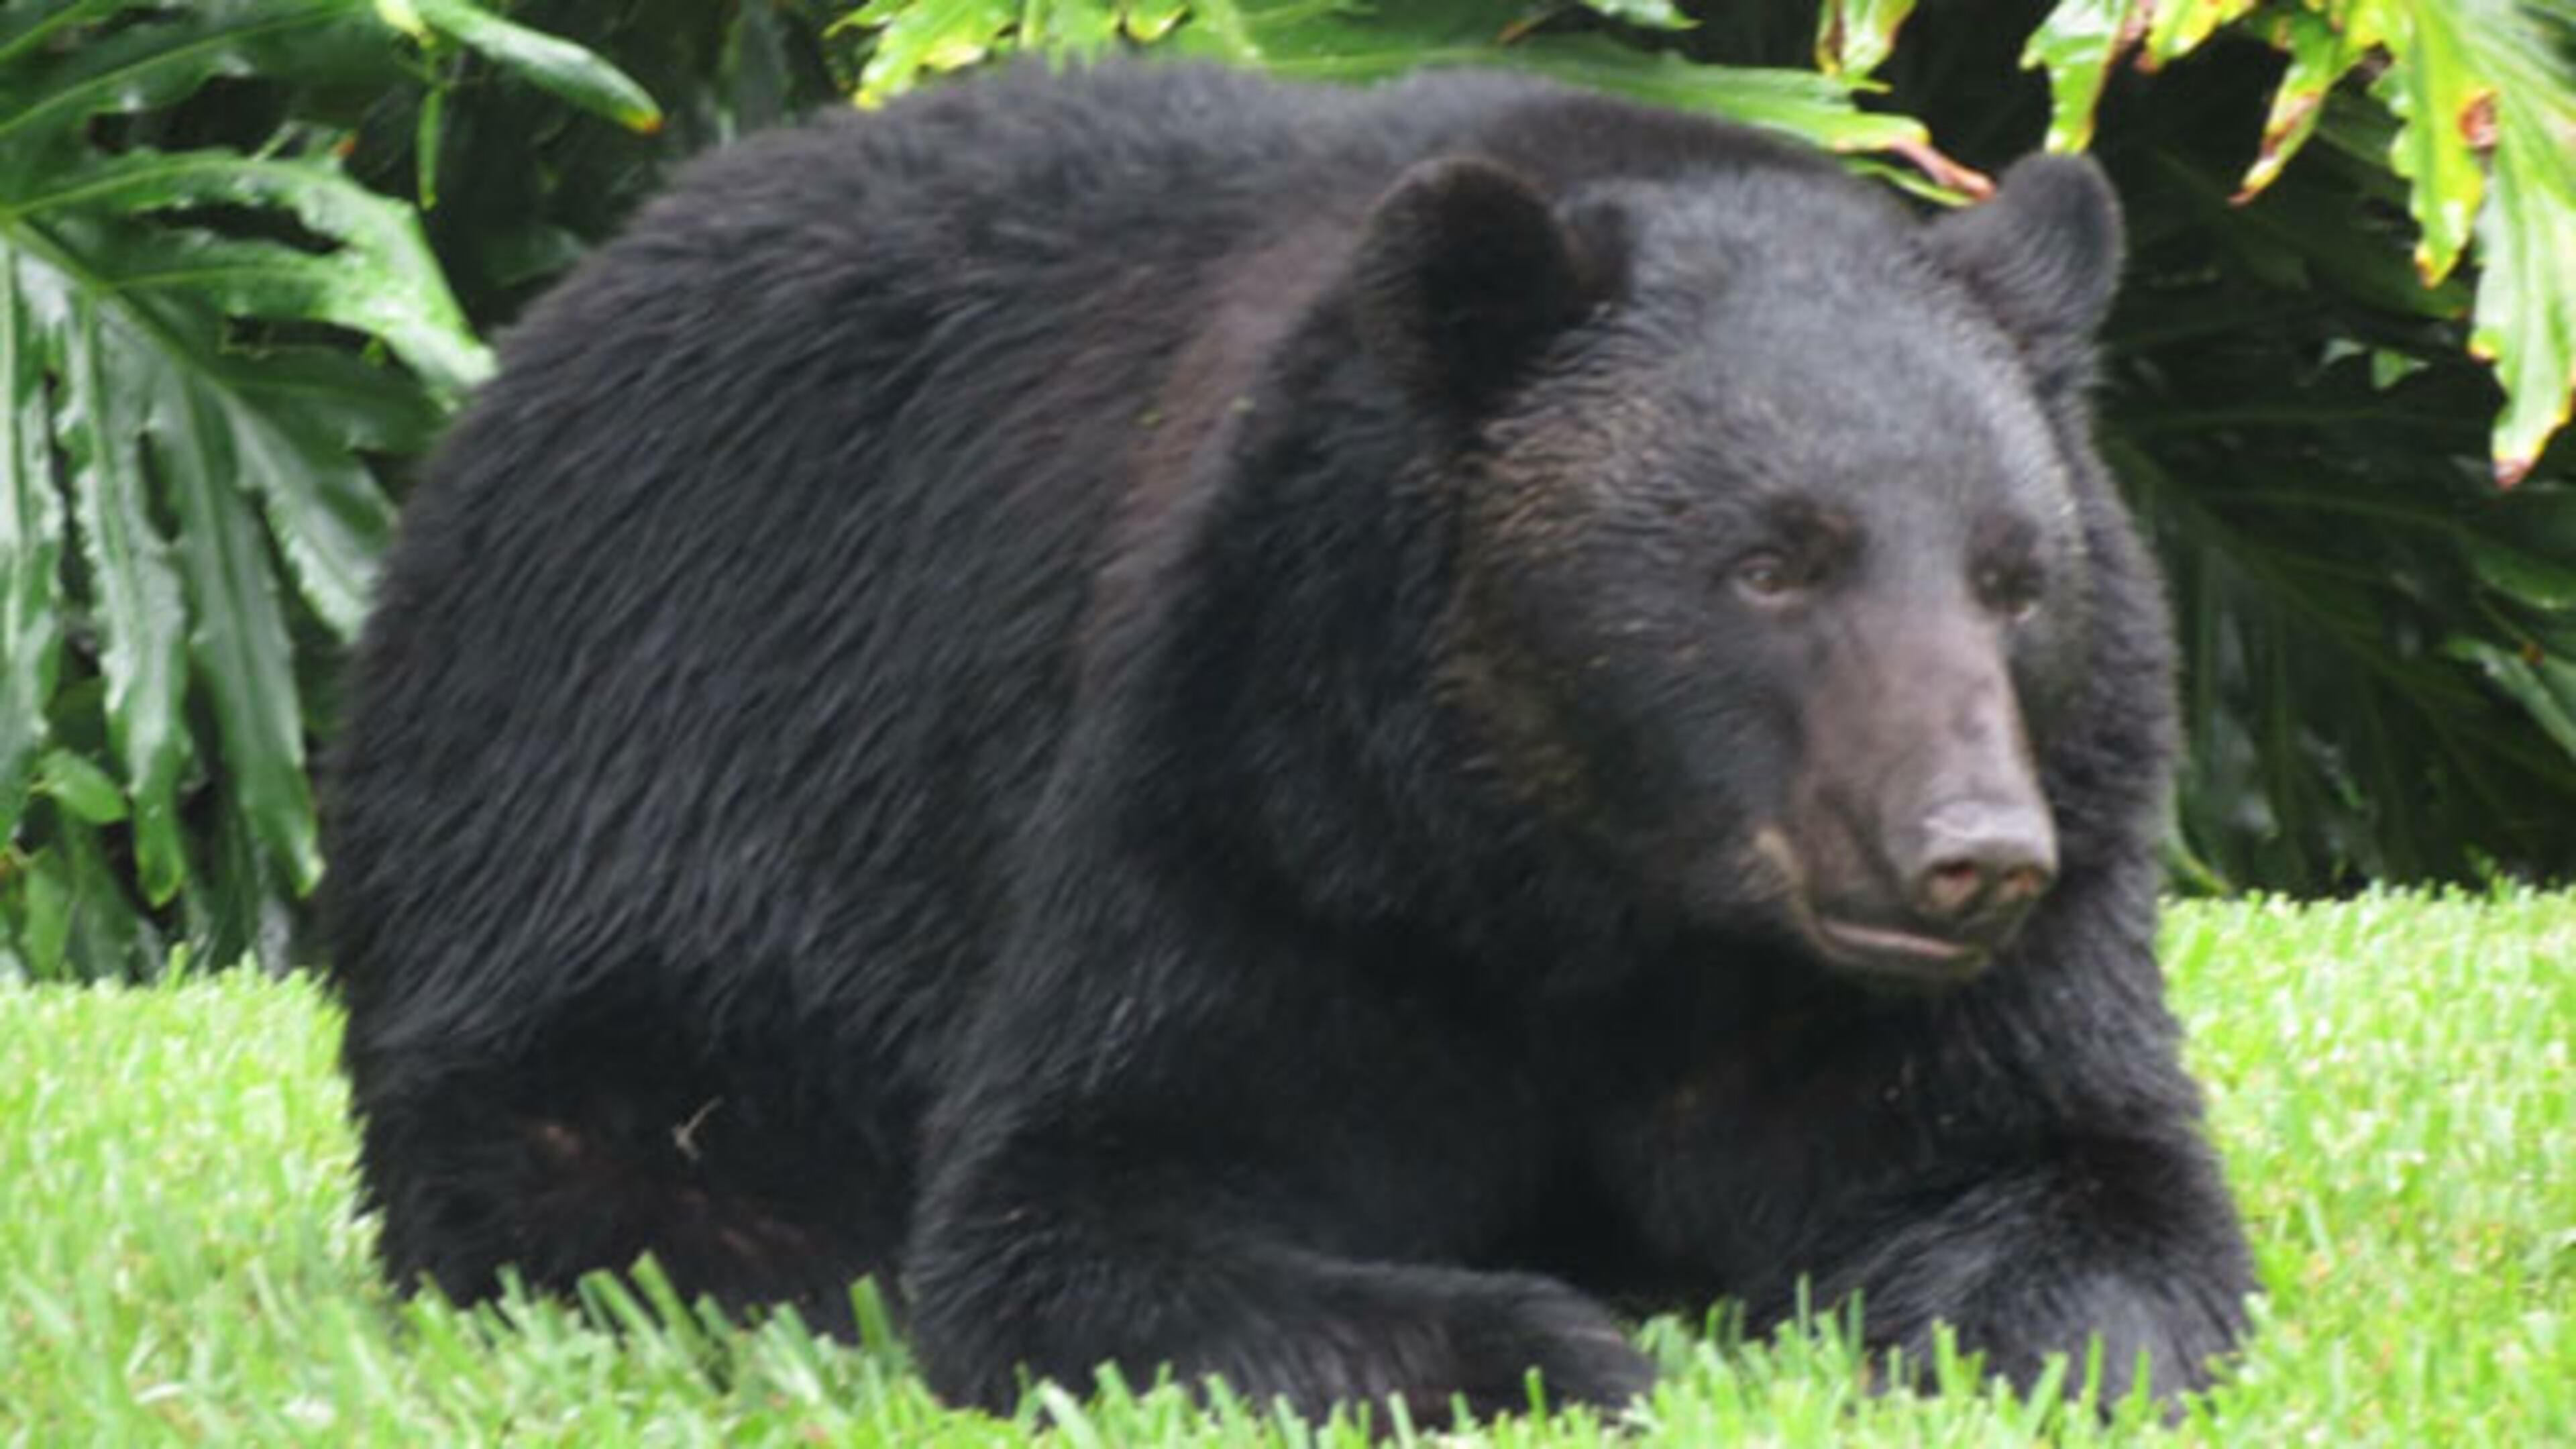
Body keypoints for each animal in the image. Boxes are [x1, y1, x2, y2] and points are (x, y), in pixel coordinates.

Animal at [325, 60, 2255, 1423]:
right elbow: (1091, 1203)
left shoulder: (2000, 896)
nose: (1970, 855)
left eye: (2013, 579)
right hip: (616, 835)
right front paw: (1556, 1343)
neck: (1587, 871)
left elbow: (2074, 1176)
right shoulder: (1261, 787)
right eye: (1772, 562)